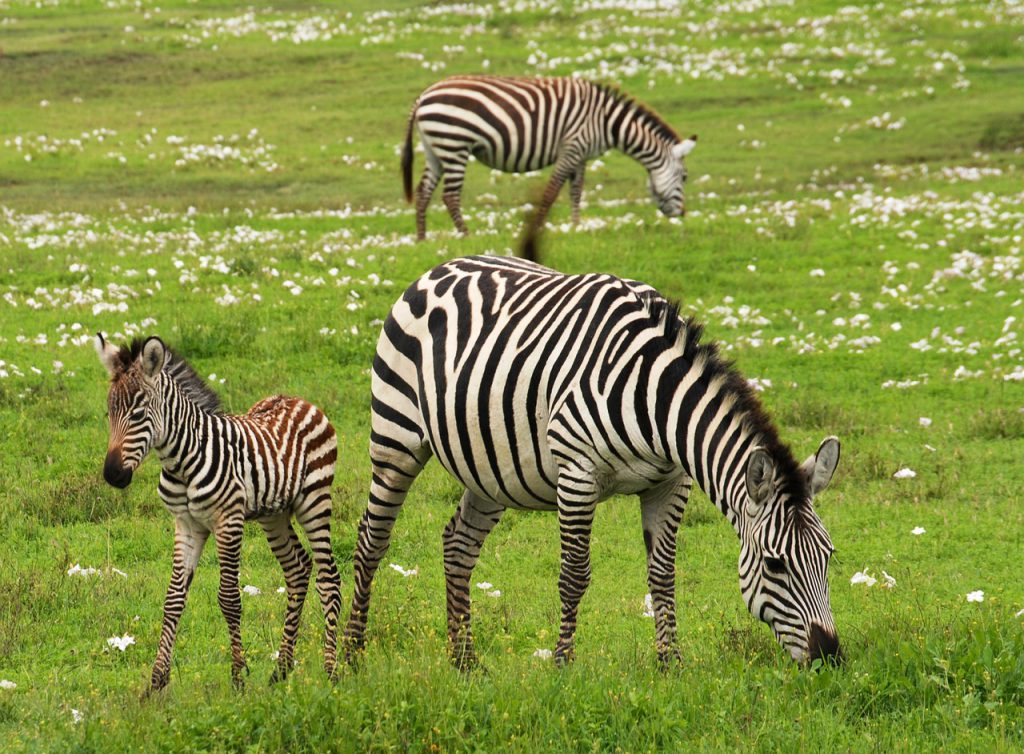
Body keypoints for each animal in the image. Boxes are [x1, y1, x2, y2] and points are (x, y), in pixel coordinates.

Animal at [95, 334, 342, 693]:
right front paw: (157, 681)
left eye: (138, 414)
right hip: (274, 514)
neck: (182, 460)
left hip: (315, 500)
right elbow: (173, 600)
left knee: (329, 577)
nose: (113, 475)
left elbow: (229, 599)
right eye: (109, 412)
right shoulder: (186, 524)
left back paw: (332, 670)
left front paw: (238, 676)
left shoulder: (228, 521)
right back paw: (281, 669)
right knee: (297, 570)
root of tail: (299, 399)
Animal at [344, 255, 842, 669]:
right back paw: (349, 656)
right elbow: (574, 575)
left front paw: (671, 665)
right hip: (396, 437)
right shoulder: (577, 473)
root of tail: (439, 267)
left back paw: (464, 661)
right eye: (775, 565)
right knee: (372, 540)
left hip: (489, 467)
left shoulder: (671, 483)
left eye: (829, 557)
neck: (655, 397)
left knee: (458, 545)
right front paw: (563, 663)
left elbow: (663, 575)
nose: (830, 657)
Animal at [401, 75, 697, 244]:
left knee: (423, 191)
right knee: (450, 195)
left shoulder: (581, 156)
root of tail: (423, 96)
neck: (607, 122)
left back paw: (422, 238)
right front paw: (540, 227)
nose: (682, 215)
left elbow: (576, 191)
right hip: (454, 143)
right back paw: (465, 235)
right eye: (684, 177)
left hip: (436, 148)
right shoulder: (572, 147)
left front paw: (576, 226)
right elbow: (552, 191)